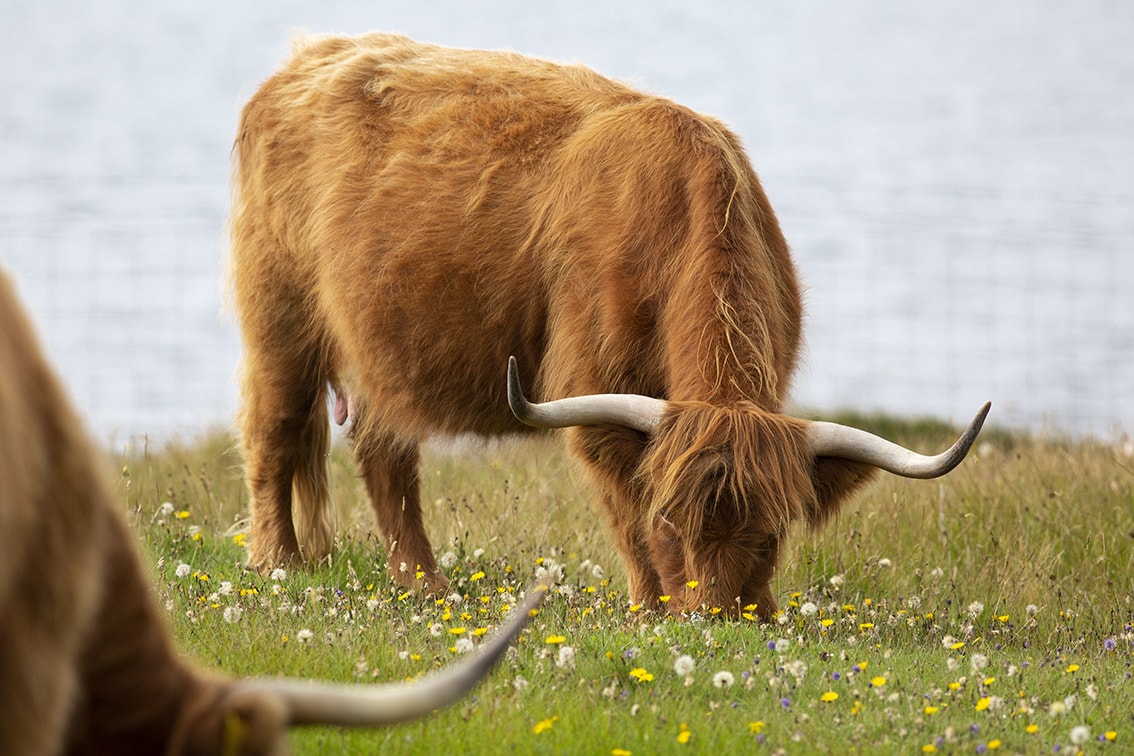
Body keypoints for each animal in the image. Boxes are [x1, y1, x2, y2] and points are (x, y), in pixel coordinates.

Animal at [227, 31, 984, 621]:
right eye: (673, 520)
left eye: (772, 531)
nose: (720, 618)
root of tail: (308, 58)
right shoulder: (593, 396)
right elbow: (627, 511)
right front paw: (651, 608)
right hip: (279, 318)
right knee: (274, 432)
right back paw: (278, 565)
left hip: (379, 348)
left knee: (385, 456)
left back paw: (426, 586)